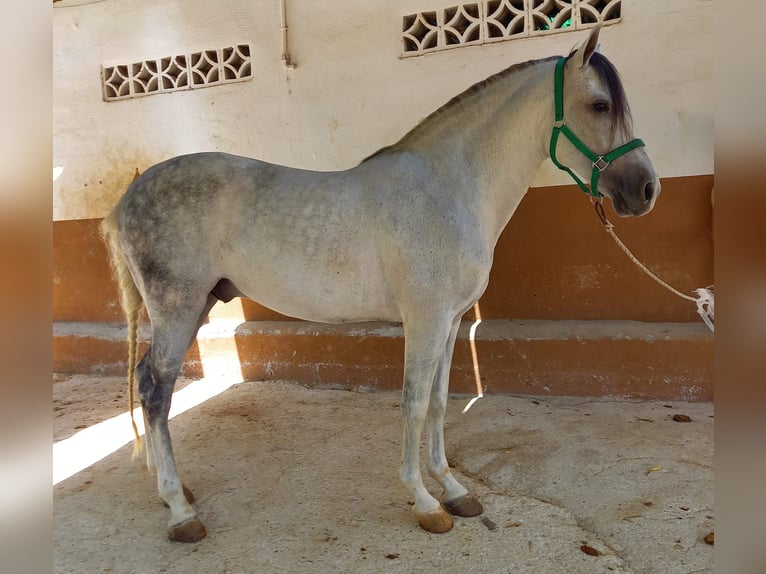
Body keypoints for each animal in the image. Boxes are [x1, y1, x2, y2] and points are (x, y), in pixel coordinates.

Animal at [101, 24, 659, 541]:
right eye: (600, 104)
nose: (646, 189)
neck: (450, 188)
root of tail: (128, 196)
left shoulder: (450, 322)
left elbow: (438, 403)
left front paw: (453, 489)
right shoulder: (425, 320)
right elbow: (413, 404)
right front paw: (425, 502)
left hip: (194, 307)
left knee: (148, 383)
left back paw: (173, 490)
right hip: (177, 309)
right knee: (155, 389)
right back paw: (181, 512)